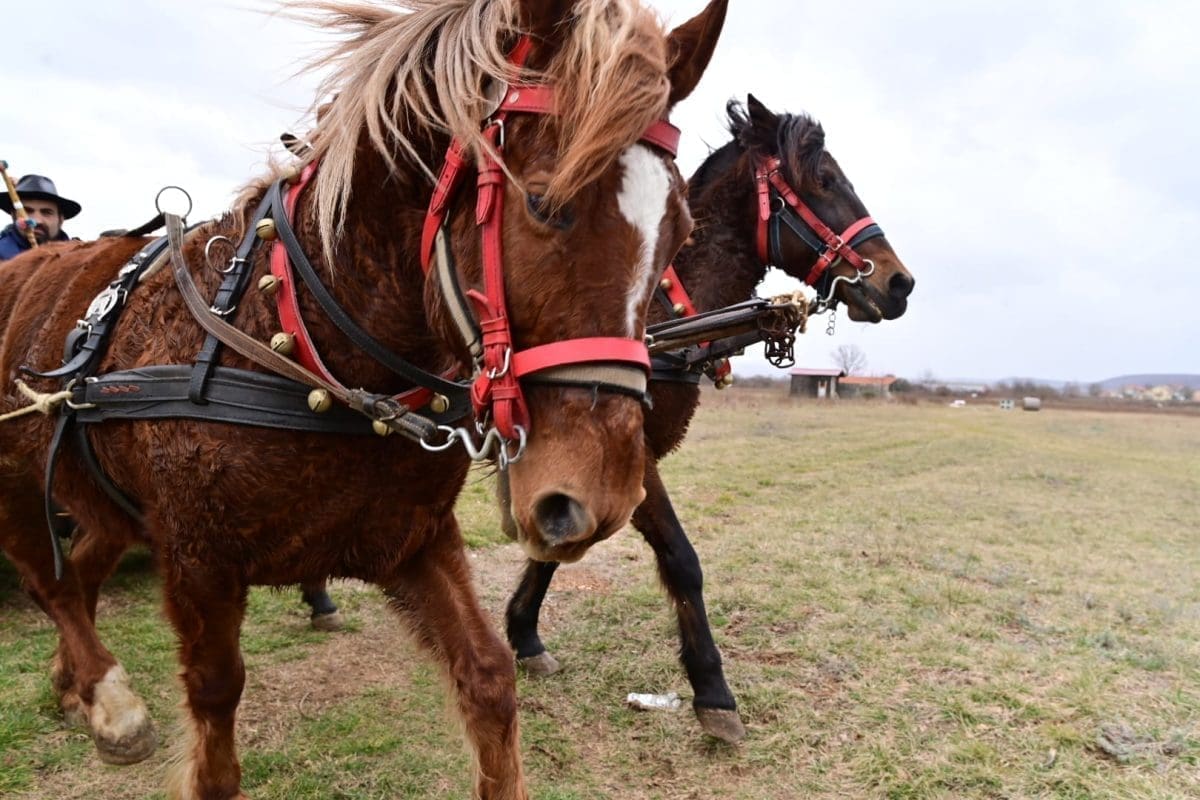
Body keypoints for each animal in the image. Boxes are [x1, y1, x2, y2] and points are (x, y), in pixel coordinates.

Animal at [0, 2, 728, 798]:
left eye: (680, 229)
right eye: (544, 200)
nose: (597, 499)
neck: (307, 350)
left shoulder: (413, 539)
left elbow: (488, 678)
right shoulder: (197, 560)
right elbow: (215, 709)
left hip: (102, 507)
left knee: (81, 573)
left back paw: (73, 687)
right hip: (20, 486)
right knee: (49, 583)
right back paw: (109, 701)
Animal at [499, 94, 916, 743]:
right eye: (823, 180)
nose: (899, 283)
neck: (662, 320)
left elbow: (558, 538)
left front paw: (524, 633)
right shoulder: (632, 457)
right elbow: (681, 559)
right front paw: (713, 690)